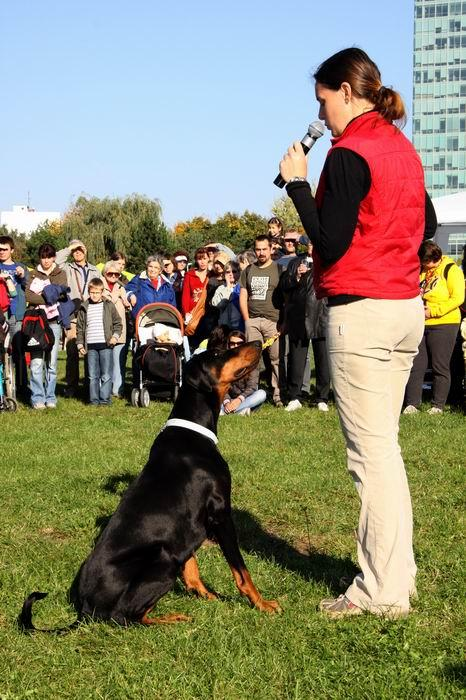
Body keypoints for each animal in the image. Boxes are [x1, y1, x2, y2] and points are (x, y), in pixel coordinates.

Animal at [20, 340, 278, 628]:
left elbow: (191, 566)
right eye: (217, 354)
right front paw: (262, 604)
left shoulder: (187, 527)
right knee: (126, 617)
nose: (257, 342)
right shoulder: (221, 513)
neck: (193, 431)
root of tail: (84, 609)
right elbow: (241, 571)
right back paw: (173, 618)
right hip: (162, 560)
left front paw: (204, 593)